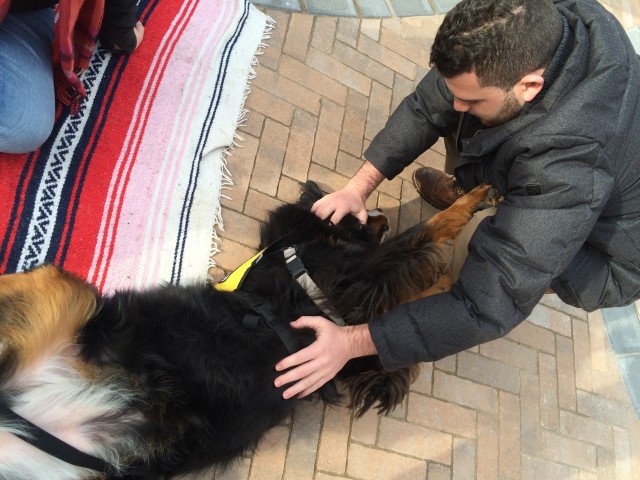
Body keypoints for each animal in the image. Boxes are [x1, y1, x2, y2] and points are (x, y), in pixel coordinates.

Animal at [0, 181, 496, 480]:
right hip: (64, 289)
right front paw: (474, 199)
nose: (381, 216)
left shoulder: (356, 349)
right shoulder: (359, 278)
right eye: (353, 218)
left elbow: (424, 307)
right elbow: (425, 233)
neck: (292, 252)